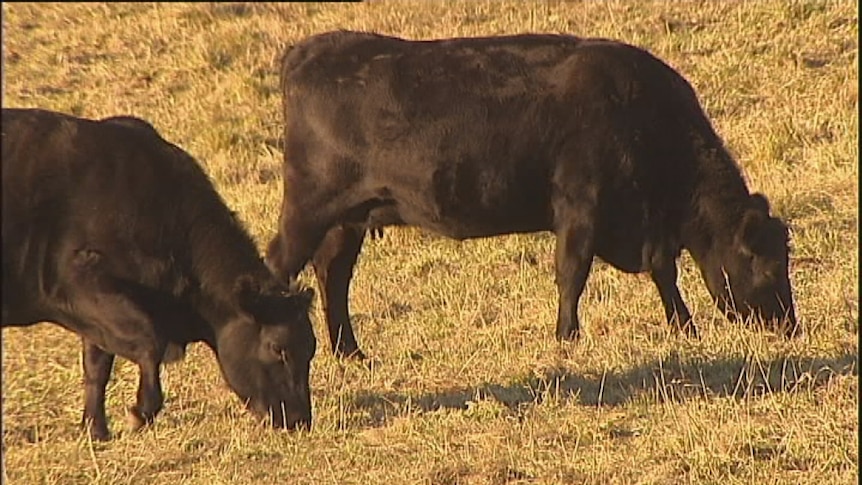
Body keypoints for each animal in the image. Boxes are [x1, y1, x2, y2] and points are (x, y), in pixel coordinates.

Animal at [1, 108, 318, 440]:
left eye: (311, 349)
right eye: (278, 349)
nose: (300, 419)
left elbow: (97, 366)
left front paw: (96, 429)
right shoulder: (78, 285)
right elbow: (149, 339)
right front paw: (140, 412)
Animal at [266, 30, 800, 360]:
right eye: (762, 261)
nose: (789, 326)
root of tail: (305, 52)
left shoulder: (648, 230)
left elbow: (663, 273)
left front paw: (684, 327)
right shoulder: (580, 209)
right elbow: (573, 275)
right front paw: (567, 338)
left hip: (348, 219)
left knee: (333, 276)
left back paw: (352, 353)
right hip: (307, 211)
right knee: (281, 267)